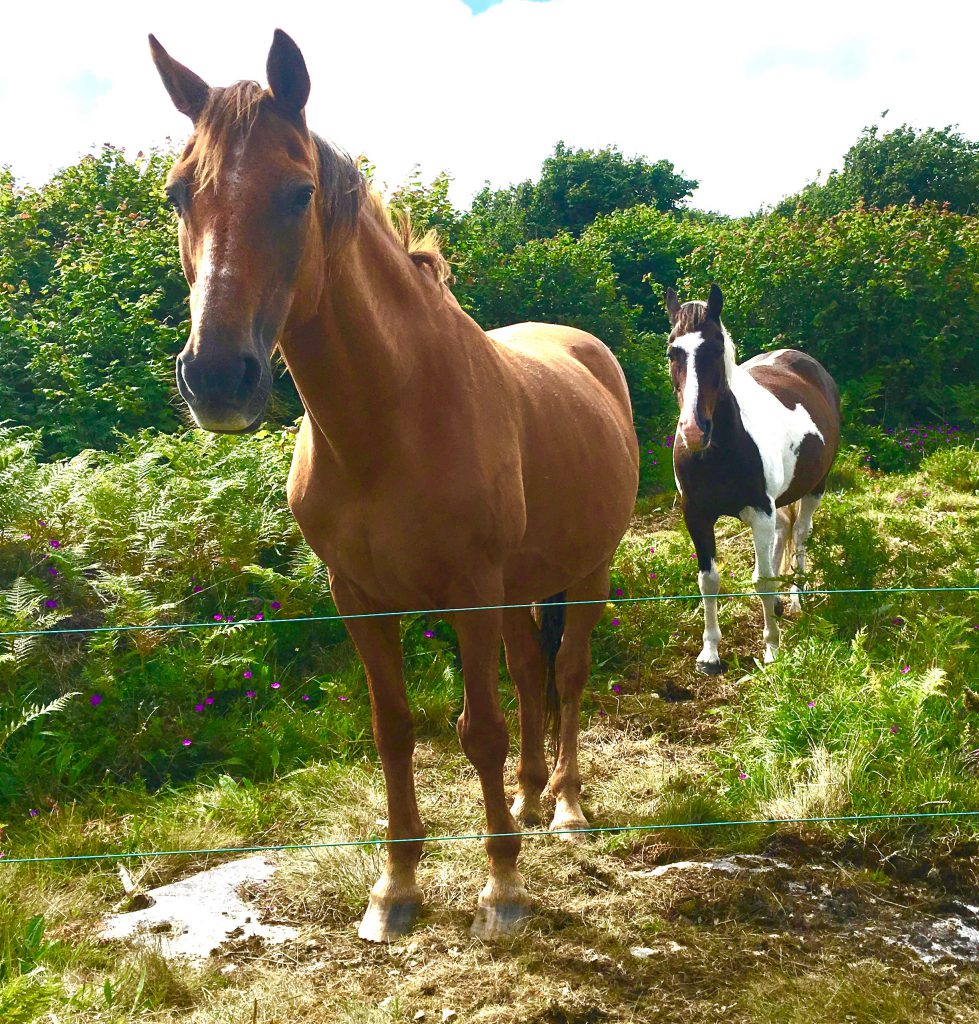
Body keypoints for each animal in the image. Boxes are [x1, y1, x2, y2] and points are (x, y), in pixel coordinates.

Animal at [149, 29, 639, 942]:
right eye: (175, 194)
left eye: (299, 191)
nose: (218, 379)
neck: (390, 420)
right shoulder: (359, 599)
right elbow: (393, 729)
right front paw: (395, 886)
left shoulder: (469, 591)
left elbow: (477, 730)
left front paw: (501, 888)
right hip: (518, 586)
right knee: (530, 670)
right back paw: (526, 799)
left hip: (585, 572)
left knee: (566, 674)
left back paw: (562, 807)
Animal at [663, 286, 839, 671]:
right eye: (672, 351)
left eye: (716, 349)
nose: (694, 431)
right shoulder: (696, 515)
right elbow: (708, 581)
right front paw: (710, 654)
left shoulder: (760, 510)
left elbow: (763, 581)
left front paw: (772, 650)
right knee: (784, 531)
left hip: (813, 488)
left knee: (800, 533)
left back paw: (796, 597)